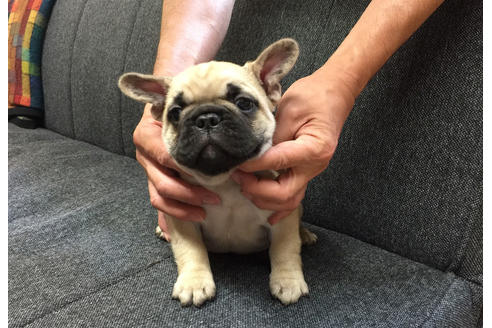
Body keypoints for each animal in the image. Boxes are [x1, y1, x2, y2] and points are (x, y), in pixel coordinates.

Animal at [120, 38, 320, 308]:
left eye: (244, 103)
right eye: (175, 113)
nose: (206, 118)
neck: (225, 182)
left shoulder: (282, 216)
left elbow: (285, 250)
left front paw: (288, 281)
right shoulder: (183, 218)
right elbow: (191, 250)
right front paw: (194, 282)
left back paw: (305, 235)